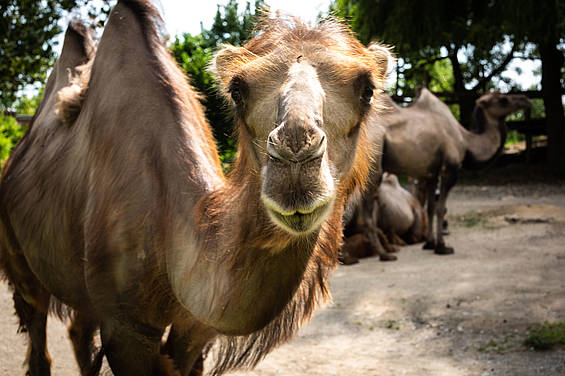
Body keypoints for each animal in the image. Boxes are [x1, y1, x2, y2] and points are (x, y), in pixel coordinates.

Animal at [0, 1, 392, 374]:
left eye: (368, 89)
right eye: (237, 90)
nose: (296, 156)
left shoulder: (196, 329)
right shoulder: (125, 327)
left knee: (78, 330)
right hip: (19, 260)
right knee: (37, 331)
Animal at [378, 87, 528, 256]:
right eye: (503, 99)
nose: (526, 100)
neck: (466, 141)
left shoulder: (431, 173)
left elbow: (430, 207)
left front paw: (429, 244)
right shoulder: (451, 167)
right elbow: (441, 207)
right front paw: (442, 247)